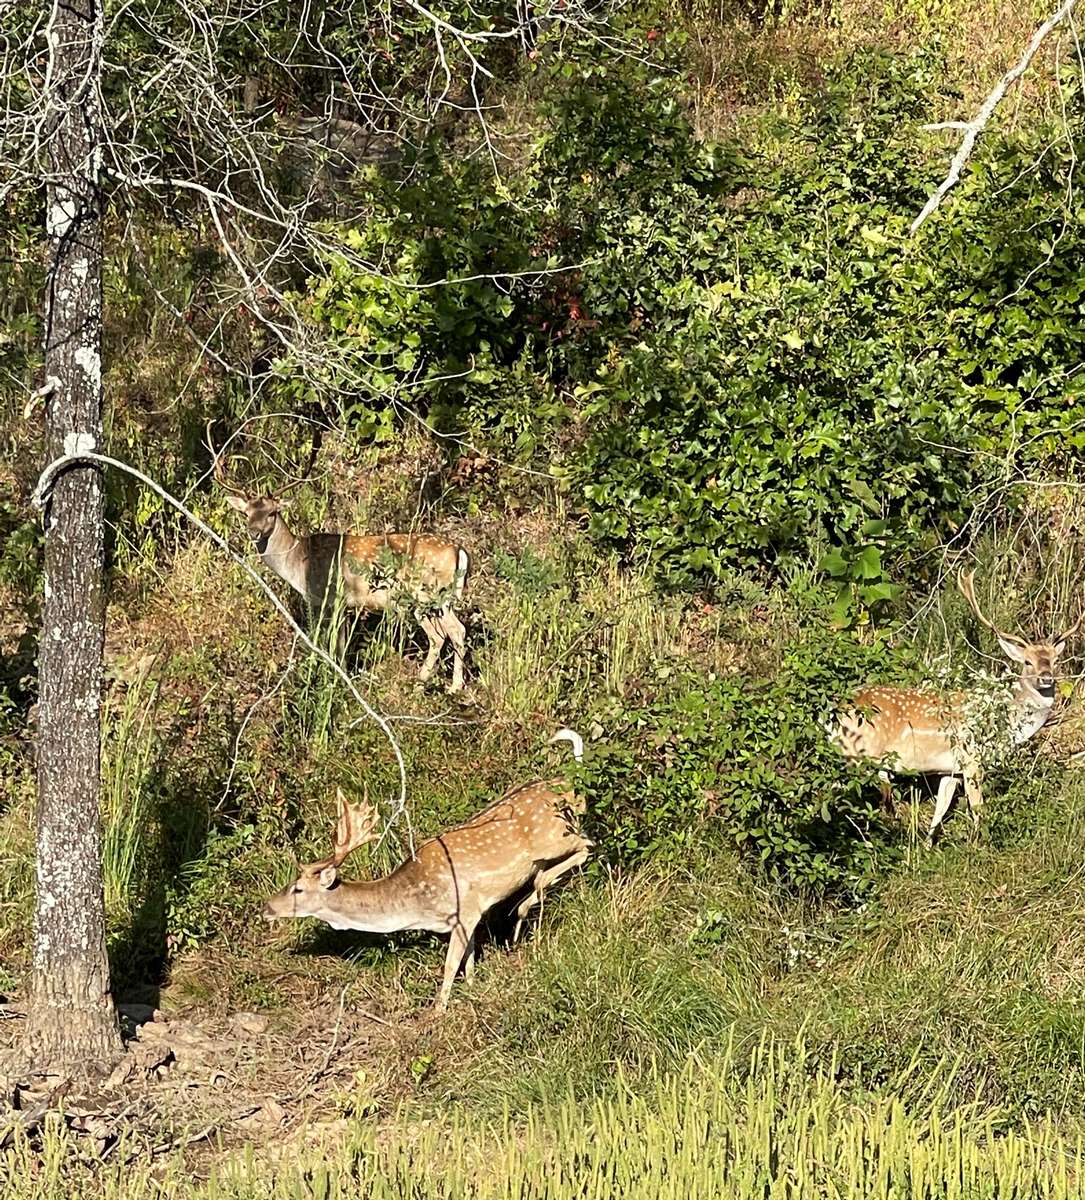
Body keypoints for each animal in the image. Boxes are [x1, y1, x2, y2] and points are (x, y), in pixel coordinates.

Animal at [207, 427, 470, 696]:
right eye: (246, 513)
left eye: (272, 512)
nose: (254, 532)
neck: (297, 562)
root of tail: (458, 550)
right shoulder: (342, 603)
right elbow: (340, 642)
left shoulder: (328, 597)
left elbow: (331, 642)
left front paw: (336, 678)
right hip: (441, 597)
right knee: (456, 630)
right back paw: (450, 684)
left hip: (423, 594)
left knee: (441, 634)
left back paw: (428, 684)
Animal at [258, 724, 588, 1008]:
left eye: (298, 888)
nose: (266, 907)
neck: (416, 907)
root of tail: (567, 781)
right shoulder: (466, 920)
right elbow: (468, 959)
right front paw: (472, 989)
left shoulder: (465, 911)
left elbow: (451, 964)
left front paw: (438, 1010)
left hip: (555, 836)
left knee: (586, 845)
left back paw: (527, 904)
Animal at [830, 568, 1075, 844]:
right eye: (1027, 662)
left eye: (1055, 660)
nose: (1047, 677)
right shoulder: (972, 758)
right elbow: (978, 808)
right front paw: (978, 844)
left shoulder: (951, 769)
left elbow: (941, 807)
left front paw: (927, 845)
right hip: (855, 753)